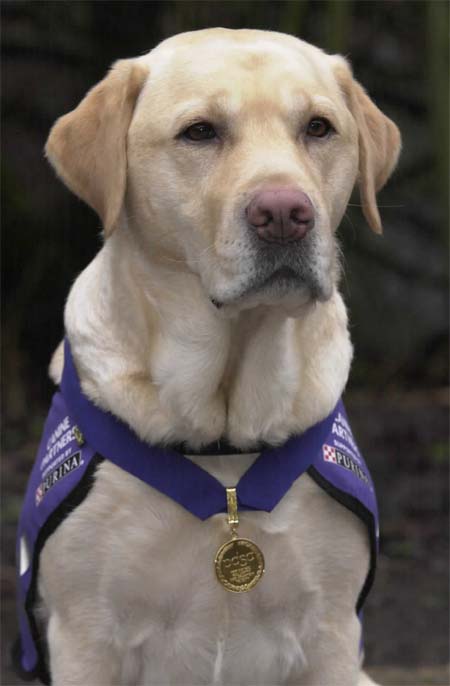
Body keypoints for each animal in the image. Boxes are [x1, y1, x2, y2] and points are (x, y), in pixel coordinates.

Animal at [33, 28, 400, 686]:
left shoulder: (332, 637)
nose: (284, 213)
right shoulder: (85, 637)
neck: (224, 439)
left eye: (318, 127)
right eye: (200, 132)